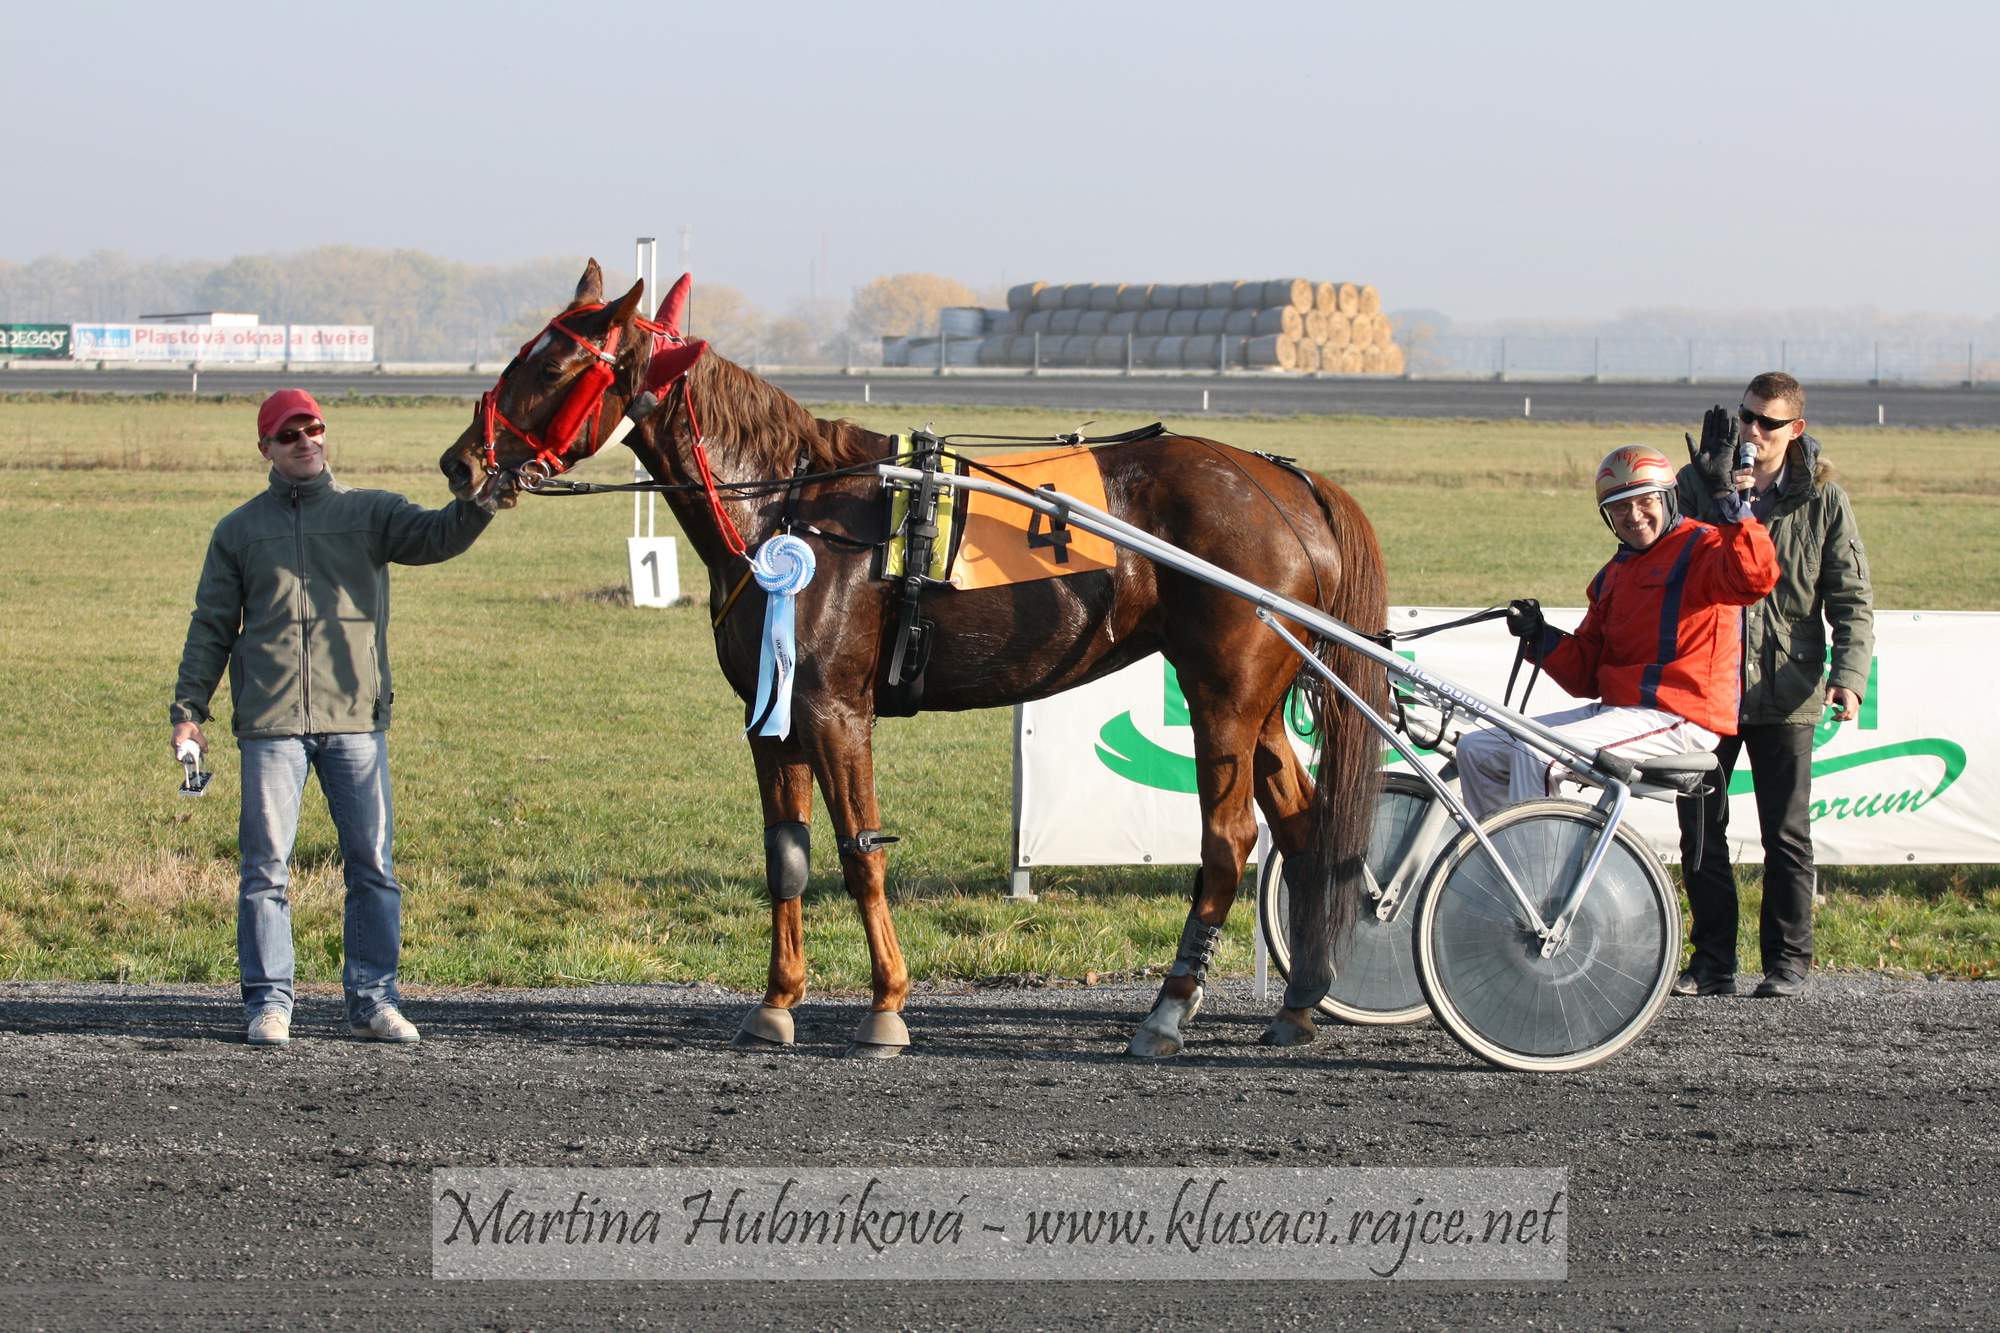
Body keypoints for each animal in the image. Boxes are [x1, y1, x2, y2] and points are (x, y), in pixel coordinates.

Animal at [440, 254, 1384, 1056]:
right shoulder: (770, 715)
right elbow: (786, 854)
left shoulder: (834, 706)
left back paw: (1167, 1010)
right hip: (1259, 700)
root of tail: (1286, 482)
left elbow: (861, 852)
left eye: (554, 367)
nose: (461, 462)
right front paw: (776, 1002)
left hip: (1222, 693)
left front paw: (886, 1005)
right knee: (1301, 823)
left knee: (1231, 839)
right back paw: (1299, 1001)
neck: (789, 505)